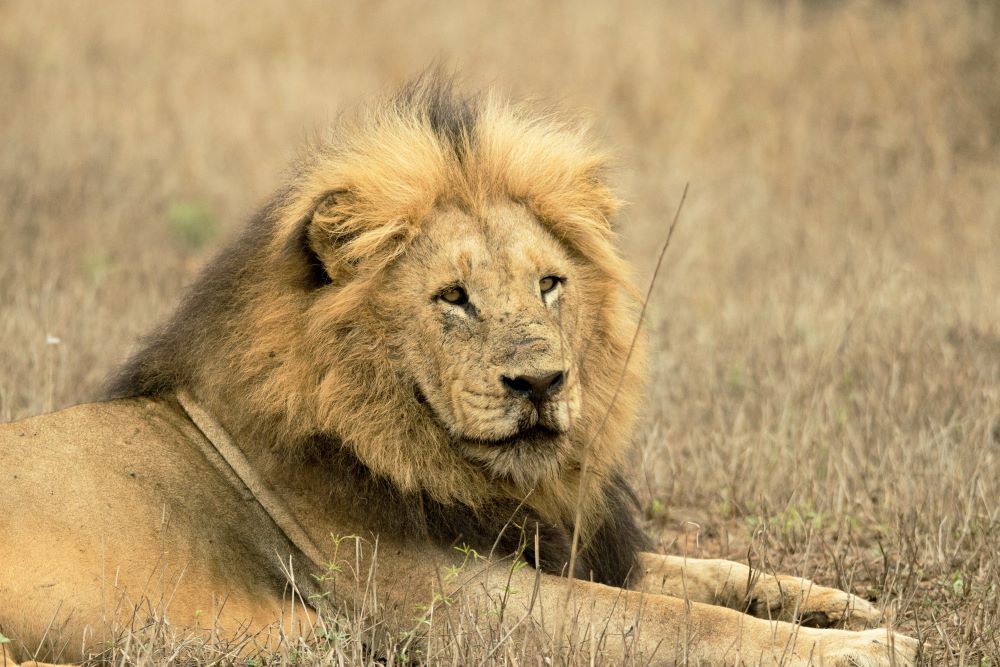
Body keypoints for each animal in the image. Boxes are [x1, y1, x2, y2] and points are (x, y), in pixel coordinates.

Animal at [0, 76, 917, 666]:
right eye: (454, 298)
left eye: (549, 284)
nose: (540, 383)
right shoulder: (457, 607)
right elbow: (673, 619)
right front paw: (870, 648)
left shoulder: (551, 542)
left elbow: (703, 574)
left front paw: (838, 603)